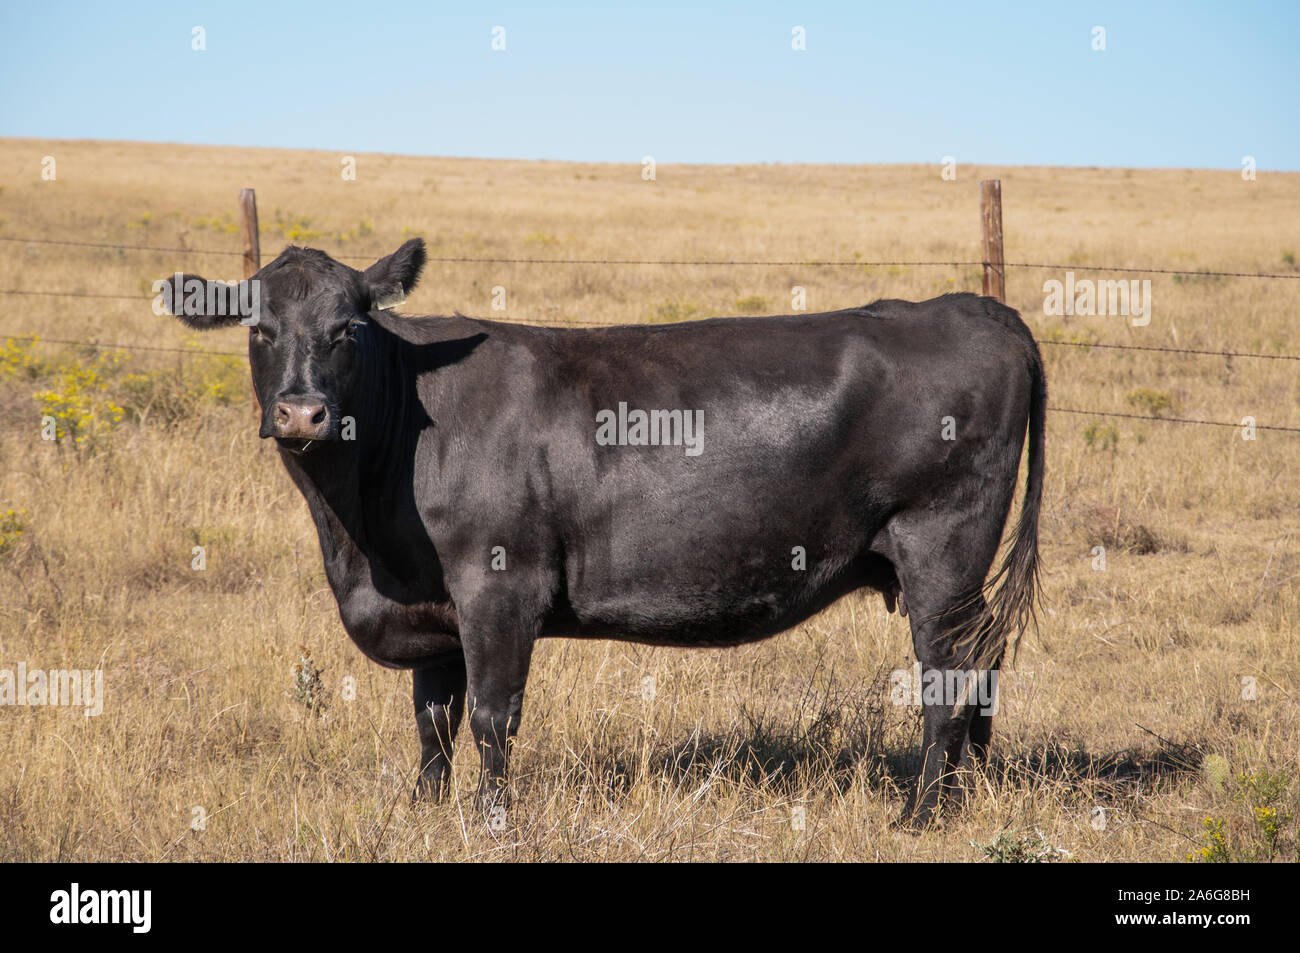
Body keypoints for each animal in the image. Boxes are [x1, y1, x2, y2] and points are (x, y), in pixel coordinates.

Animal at [159, 239, 1045, 825]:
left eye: (349, 329)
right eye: (258, 329)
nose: (301, 413)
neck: (359, 539)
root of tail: (973, 306)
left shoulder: (498, 585)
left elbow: (491, 715)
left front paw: (494, 823)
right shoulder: (432, 606)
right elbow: (432, 718)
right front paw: (424, 812)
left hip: (941, 551)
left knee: (947, 679)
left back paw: (919, 815)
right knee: (980, 673)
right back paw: (960, 798)